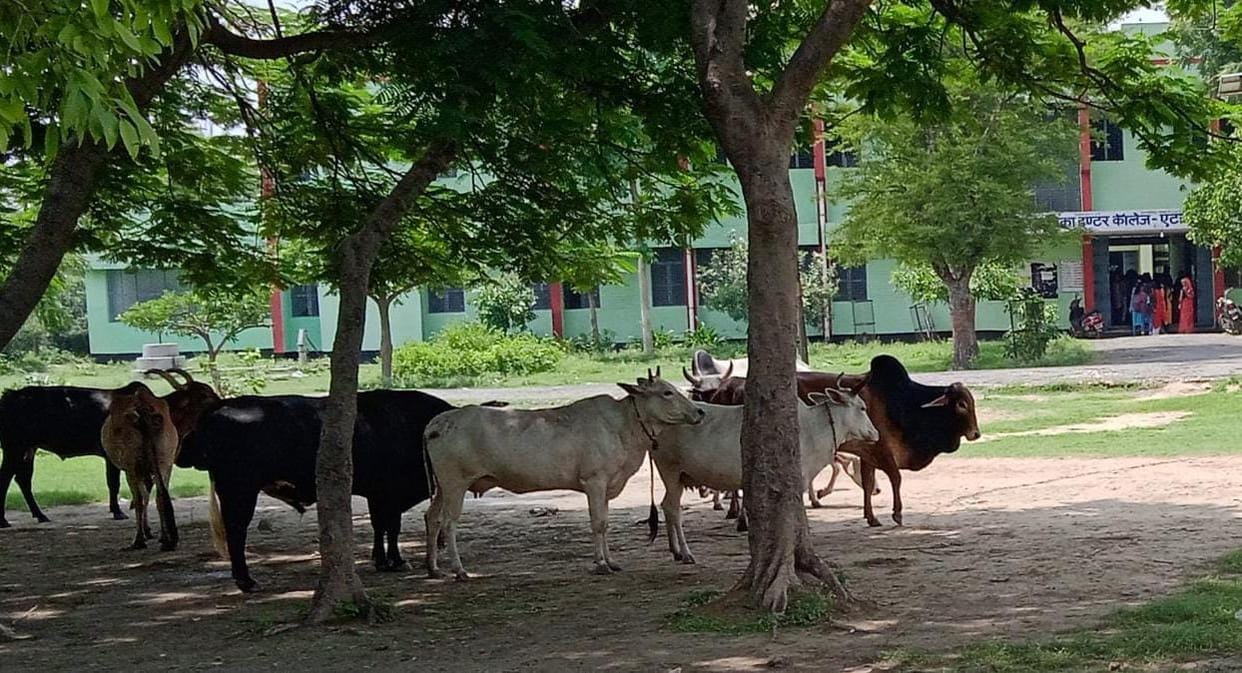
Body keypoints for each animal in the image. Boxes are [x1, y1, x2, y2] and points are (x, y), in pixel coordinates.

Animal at [0, 369, 217, 528]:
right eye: (204, 394)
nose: (220, 401)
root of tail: (10, 395)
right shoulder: (114, 456)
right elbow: (115, 483)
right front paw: (118, 511)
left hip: (28, 450)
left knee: (23, 480)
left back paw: (40, 515)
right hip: (14, 448)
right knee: (7, 477)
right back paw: (4, 520)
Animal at [100, 383, 180, 551]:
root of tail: (142, 408)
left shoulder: (130, 468)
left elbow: (141, 497)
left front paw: (145, 533)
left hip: (132, 465)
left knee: (139, 498)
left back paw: (138, 540)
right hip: (164, 461)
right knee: (160, 496)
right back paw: (166, 539)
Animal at [175, 389, 454, 592]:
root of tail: (222, 406)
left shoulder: (379, 496)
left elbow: (381, 527)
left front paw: (381, 560)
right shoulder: (389, 493)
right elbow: (391, 527)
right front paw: (395, 561)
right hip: (239, 490)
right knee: (236, 531)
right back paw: (246, 581)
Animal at [423, 369, 704, 579]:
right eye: (667, 392)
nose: (700, 411)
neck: (625, 425)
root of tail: (435, 424)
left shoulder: (607, 486)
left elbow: (605, 522)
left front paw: (611, 561)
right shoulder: (595, 481)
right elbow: (598, 523)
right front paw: (601, 564)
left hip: (442, 486)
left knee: (432, 517)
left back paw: (434, 568)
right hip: (455, 482)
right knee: (448, 521)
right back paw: (459, 570)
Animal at [652, 389, 878, 564]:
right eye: (862, 408)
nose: (875, 433)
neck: (815, 429)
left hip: (679, 475)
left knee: (667, 505)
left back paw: (675, 550)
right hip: (670, 469)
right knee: (673, 508)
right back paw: (685, 553)